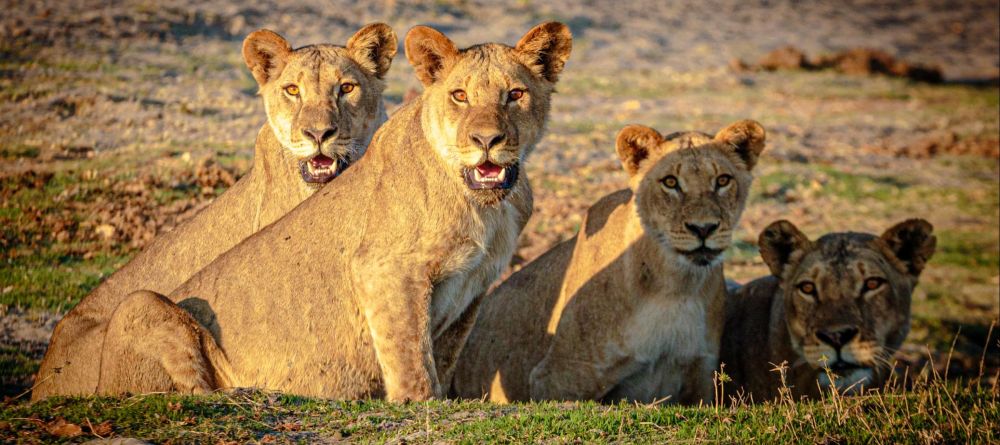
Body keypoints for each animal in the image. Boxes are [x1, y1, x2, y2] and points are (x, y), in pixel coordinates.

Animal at [90, 22, 576, 400]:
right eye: (459, 96)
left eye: (515, 94)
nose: (487, 140)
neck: (484, 206)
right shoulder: (382, 267)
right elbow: (410, 356)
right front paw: (417, 403)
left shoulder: (473, 289)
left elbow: (442, 355)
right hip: (139, 304)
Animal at [452, 119, 764, 402]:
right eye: (670, 182)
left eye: (723, 180)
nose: (703, 229)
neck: (676, 286)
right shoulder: (557, 376)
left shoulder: (700, 376)